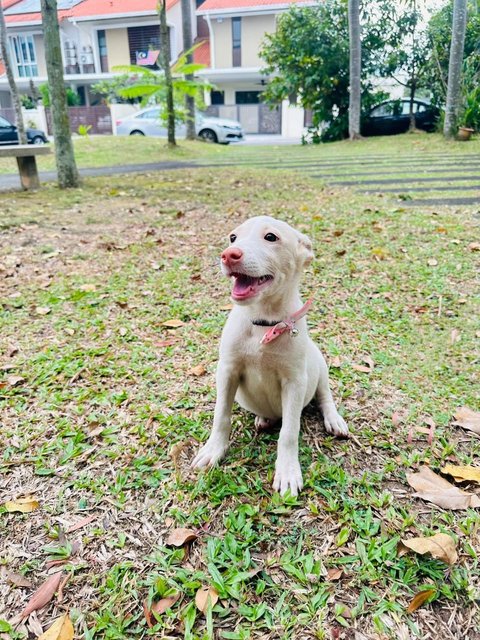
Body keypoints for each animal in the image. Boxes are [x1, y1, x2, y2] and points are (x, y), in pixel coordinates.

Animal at [192, 216, 348, 496]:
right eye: (233, 237)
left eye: (271, 237)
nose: (228, 255)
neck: (263, 323)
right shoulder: (227, 371)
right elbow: (221, 415)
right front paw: (213, 450)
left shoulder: (295, 382)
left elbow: (289, 432)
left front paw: (287, 472)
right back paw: (264, 418)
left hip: (318, 364)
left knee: (324, 396)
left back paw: (334, 419)